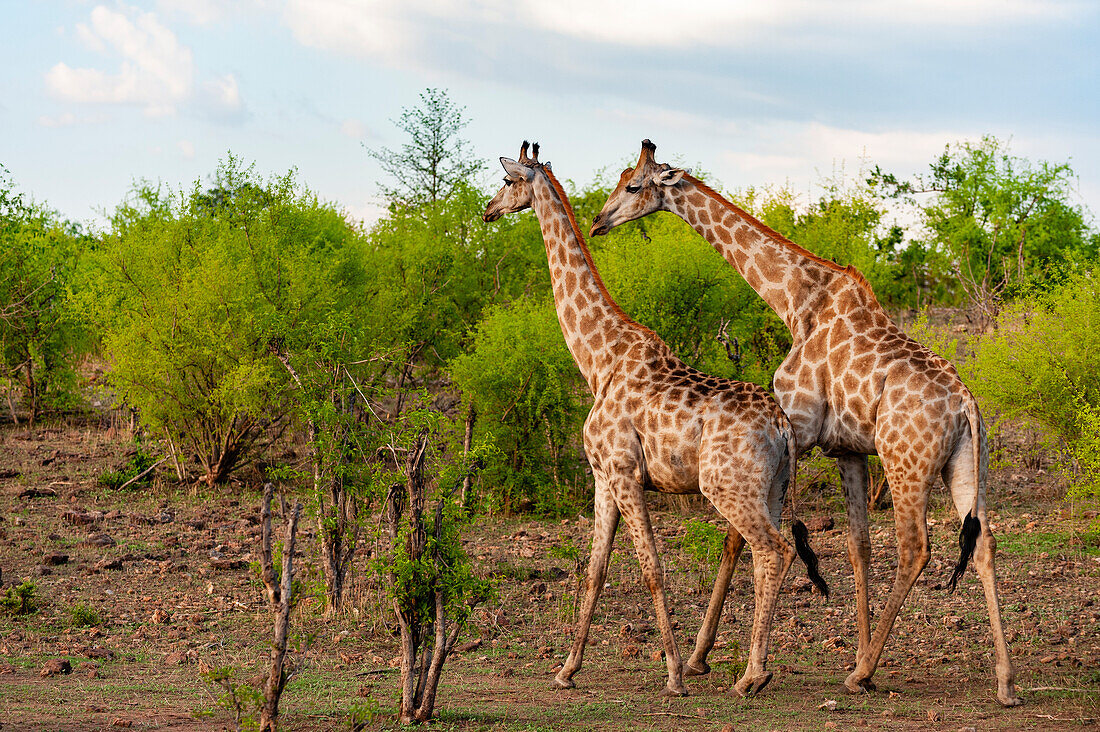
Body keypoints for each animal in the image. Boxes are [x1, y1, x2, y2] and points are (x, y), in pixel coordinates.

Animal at [481, 140, 827, 695]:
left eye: (508, 180)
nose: (488, 210)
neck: (598, 360)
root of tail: (780, 427)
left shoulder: (625, 472)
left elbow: (652, 569)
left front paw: (672, 674)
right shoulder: (602, 476)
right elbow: (595, 569)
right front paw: (567, 670)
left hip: (725, 486)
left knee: (772, 551)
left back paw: (750, 676)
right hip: (773, 489)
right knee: (767, 553)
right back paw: (753, 669)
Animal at [594, 139, 1020, 704]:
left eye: (633, 185)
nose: (599, 221)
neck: (795, 300)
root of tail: (966, 404)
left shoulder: (792, 424)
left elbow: (740, 539)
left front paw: (705, 659)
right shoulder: (849, 449)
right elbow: (858, 547)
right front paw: (861, 655)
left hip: (906, 464)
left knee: (915, 547)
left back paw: (861, 673)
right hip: (966, 463)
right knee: (986, 542)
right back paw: (1004, 681)